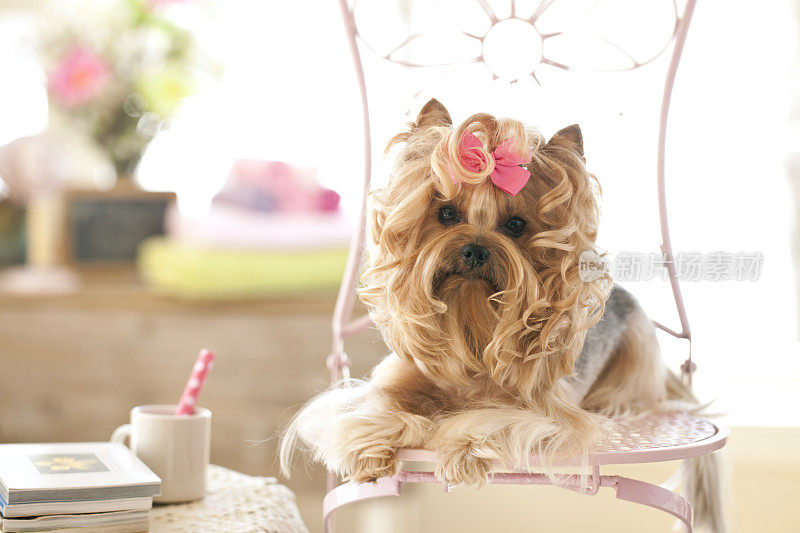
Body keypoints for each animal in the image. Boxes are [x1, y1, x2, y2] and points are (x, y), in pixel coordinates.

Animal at [282, 98, 724, 528]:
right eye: (446, 214)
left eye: (515, 224)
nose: (475, 250)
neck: (472, 324)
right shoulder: (399, 377)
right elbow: (371, 404)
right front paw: (370, 449)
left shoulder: (544, 409)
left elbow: (497, 419)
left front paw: (462, 449)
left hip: (637, 352)